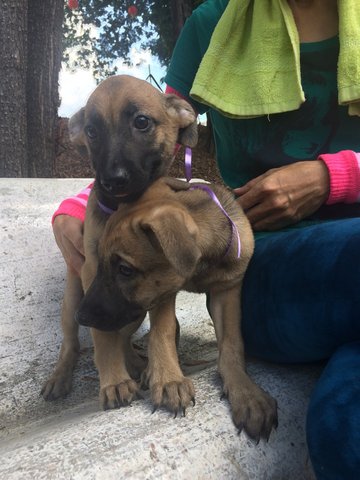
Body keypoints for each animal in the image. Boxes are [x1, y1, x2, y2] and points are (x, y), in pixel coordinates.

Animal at [43, 74, 200, 404]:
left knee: (124, 334)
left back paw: (140, 365)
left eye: (142, 122)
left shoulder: (162, 283)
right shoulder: (92, 272)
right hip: (73, 298)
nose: (112, 181)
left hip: (132, 307)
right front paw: (114, 381)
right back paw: (61, 376)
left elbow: (163, 329)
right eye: (91, 131)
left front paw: (167, 377)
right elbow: (103, 335)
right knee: (71, 341)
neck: (126, 209)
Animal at [77, 177, 278, 442]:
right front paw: (168, 380)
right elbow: (162, 332)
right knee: (120, 337)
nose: (81, 316)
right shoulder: (163, 292)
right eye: (102, 263)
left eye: (125, 269)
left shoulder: (227, 290)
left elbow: (232, 344)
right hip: (134, 311)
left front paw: (248, 395)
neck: (199, 267)